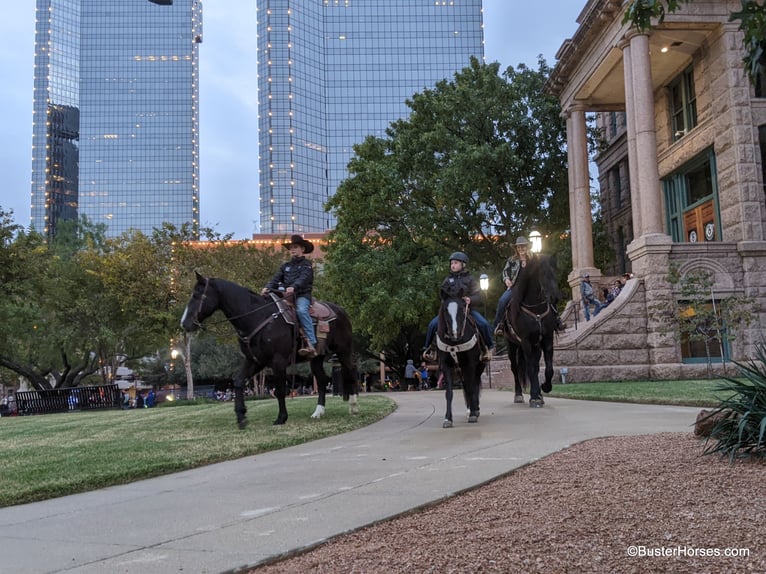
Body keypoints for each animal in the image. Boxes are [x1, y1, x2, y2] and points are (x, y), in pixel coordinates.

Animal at [182, 274, 358, 428]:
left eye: (198, 295)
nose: (185, 323)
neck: (258, 318)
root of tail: (341, 310)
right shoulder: (255, 361)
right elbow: (238, 382)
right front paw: (241, 417)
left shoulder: (278, 361)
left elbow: (280, 390)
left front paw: (281, 418)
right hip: (316, 358)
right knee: (322, 380)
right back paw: (318, 412)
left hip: (343, 351)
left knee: (350, 372)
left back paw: (354, 406)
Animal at [438, 296, 486, 428]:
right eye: (445, 311)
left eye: (462, 309)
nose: (455, 334)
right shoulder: (446, 366)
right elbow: (449, 393)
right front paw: (448, 419)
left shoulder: (470, 365)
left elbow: (471, 388)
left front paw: (473, 414)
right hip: (460, 370)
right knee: (466, 385)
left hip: (478, 367)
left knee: (474, 385)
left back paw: (475, 409)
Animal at [500, 256, 560, 410]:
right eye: (543, 273)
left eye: (555, 272)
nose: (555, 297)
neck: (536, 310)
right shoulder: (526, 341)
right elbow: (530, 369)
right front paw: (534, 397)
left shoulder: (547, 339)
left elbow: (548, 368)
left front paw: (544, 388)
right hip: (511, 345)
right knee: (515, 368)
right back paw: (519, 395)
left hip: (535, 346)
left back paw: (539, 394)